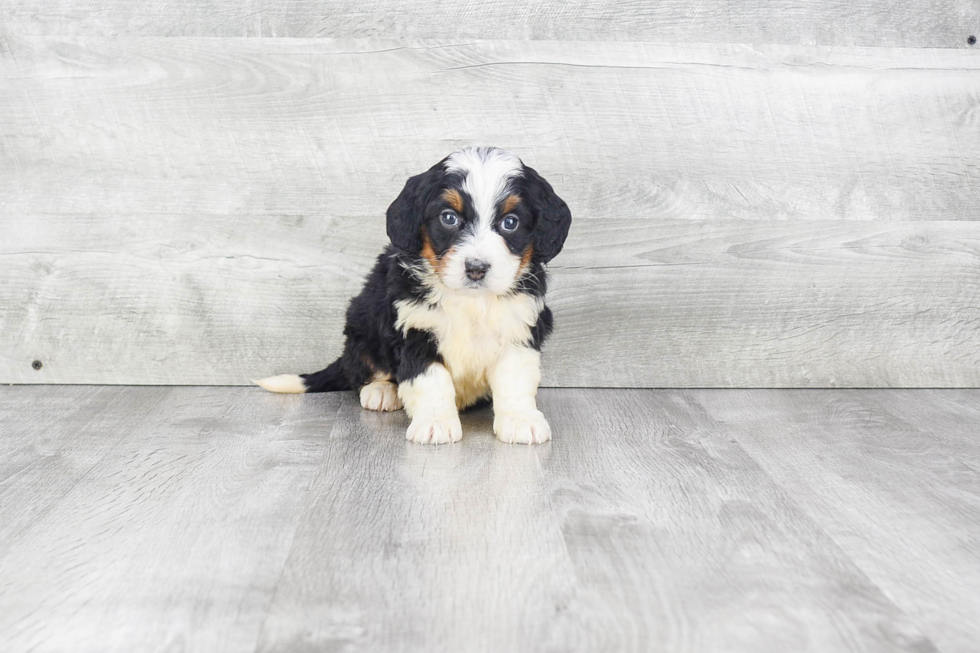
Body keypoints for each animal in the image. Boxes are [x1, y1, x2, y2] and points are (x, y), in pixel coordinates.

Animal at [256, 146, 572, 444]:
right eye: (448, 218)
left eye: (510, 222)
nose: (476, 268)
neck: (469, 301)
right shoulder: (414, 330)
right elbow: (431, 379)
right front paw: (435, 423)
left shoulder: (519, 328)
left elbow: (515, 379)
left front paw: (521, 420)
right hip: (363, 320)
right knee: (363, 366)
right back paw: (382, 391)